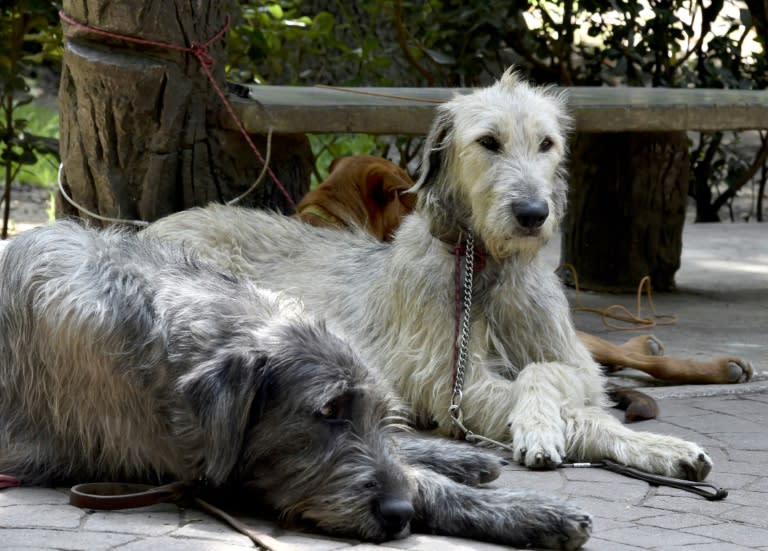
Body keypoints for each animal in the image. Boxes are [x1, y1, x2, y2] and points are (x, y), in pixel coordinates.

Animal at [0, 221, 592, 551]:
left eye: (378, 413)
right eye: (328, 411)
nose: (397, 516)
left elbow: (402, 457)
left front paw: (455, 466)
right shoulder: (206, 467)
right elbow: (419, 482)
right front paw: (530, 513)